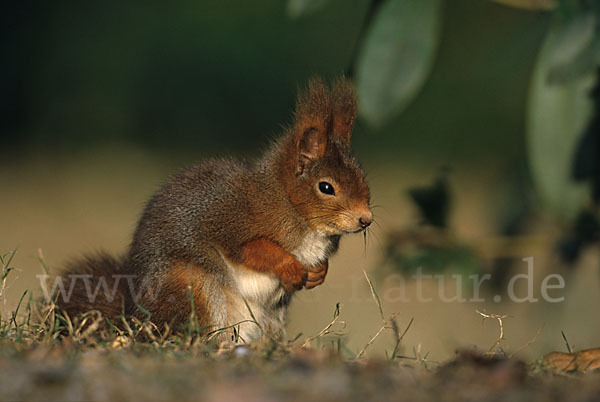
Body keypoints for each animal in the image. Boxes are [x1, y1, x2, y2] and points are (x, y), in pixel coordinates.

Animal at [58, 78, 372, 342]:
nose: (366, 219)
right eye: (326, 187)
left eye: (363, 177)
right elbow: (255, 251)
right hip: (191, 288)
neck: (287, 202)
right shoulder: (231, 223)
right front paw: (291, 268)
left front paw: (319, 273)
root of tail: (135, 321)